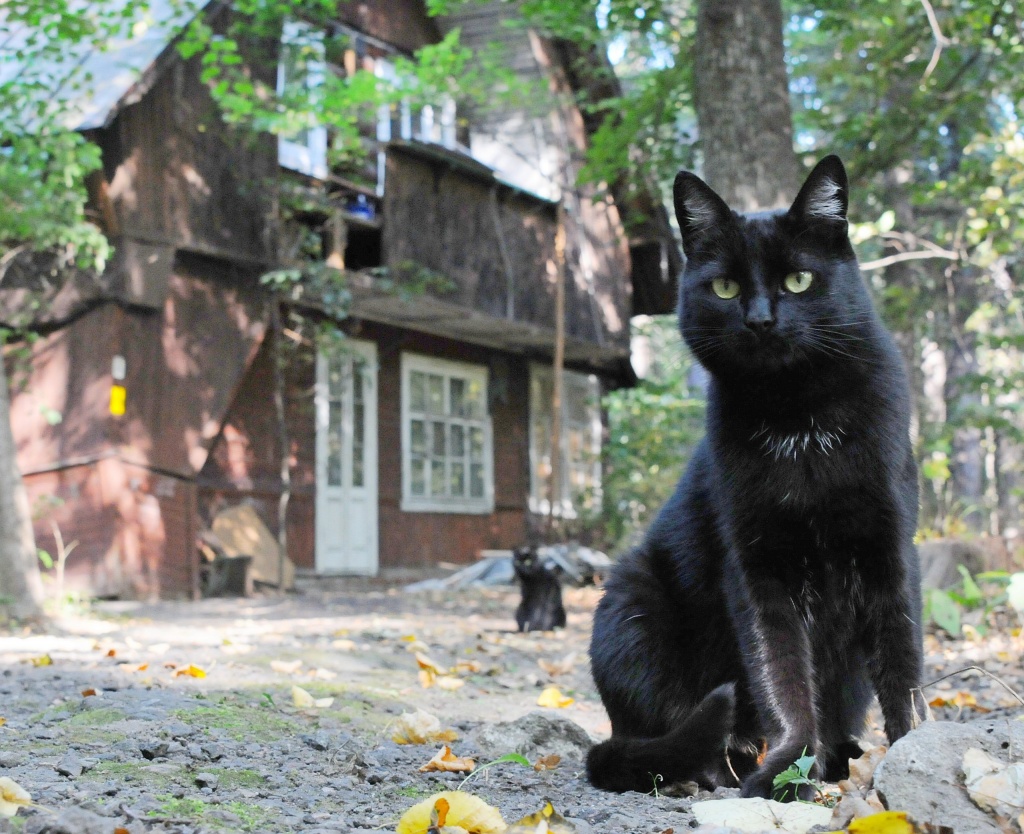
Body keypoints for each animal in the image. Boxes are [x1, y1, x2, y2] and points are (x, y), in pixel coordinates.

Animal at [589, 156, 925, 803]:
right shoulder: (756, 566)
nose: (761, 319)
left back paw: (839, 757)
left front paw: (912, 755)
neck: (800, 423)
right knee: (668, 735)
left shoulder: (888, 550)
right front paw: (787, 771)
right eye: (725, 287)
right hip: (630, 601)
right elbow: (781, 676)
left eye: (798, 280)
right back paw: (720, 769)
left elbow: (903, 667)